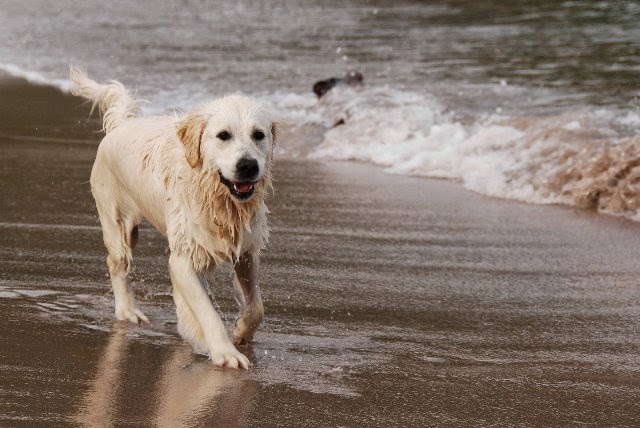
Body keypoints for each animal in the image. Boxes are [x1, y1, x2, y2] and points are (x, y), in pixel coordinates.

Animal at [69, 67, 276, 368]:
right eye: (223, 135)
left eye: (258, 135)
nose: (248, 166)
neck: (218, 199)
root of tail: (121, 124)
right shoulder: (183, 258)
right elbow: (207, 312)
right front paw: (225, 352)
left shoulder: (246, 250)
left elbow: (256, 307)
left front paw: (240, 332)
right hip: (117, 219)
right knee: (116, 263)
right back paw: (128, 311)